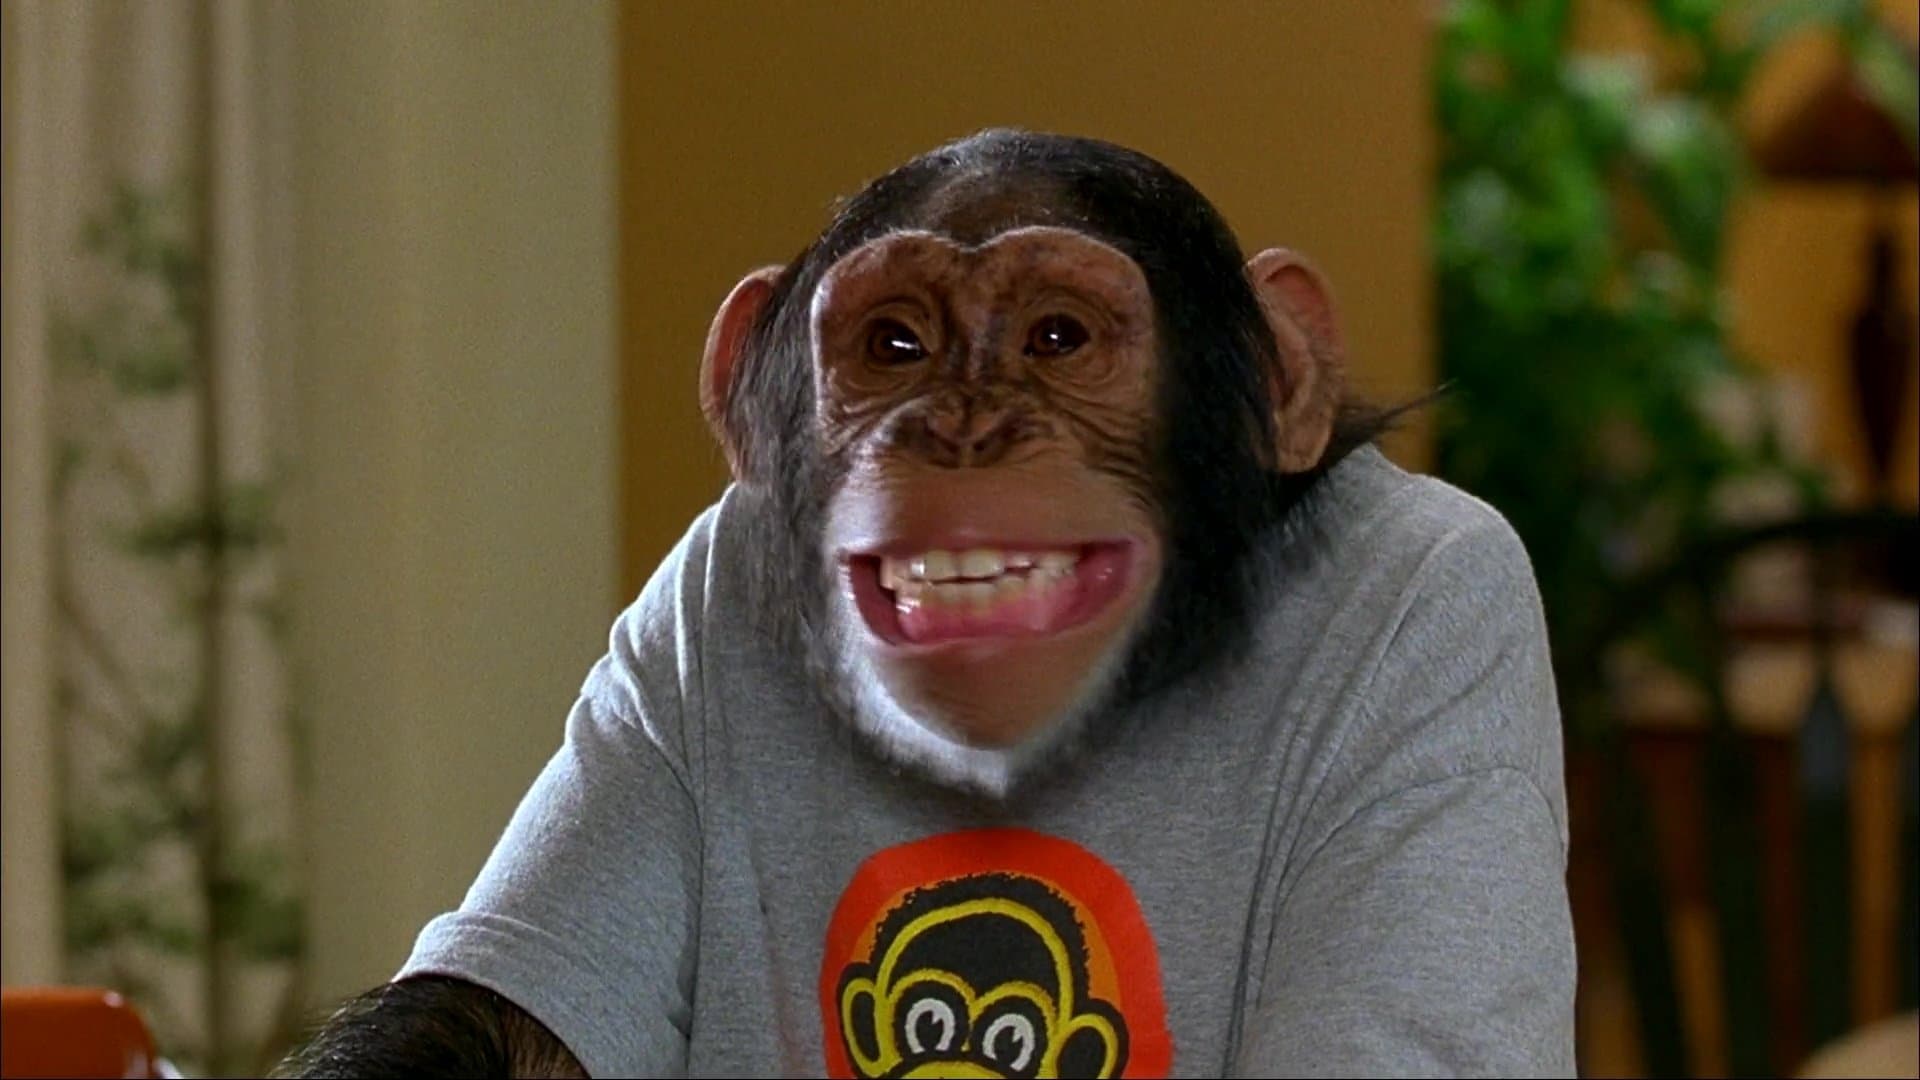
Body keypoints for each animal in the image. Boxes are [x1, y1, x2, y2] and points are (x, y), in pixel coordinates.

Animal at [278, 130, 1574, 1078]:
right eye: (894, 344)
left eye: (1057, 336)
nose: (960, 430)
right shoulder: (666, 639)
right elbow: (500, 1031)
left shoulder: (1453, 618)